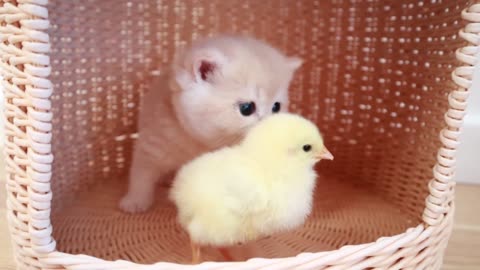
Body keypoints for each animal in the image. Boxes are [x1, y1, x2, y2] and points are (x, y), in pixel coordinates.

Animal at [118, 34, 302, 213]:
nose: (270, 127)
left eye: (276, 107)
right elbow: (141, 173)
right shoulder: (154, 139)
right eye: (247, 108)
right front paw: (135, 201)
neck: (199, 144)